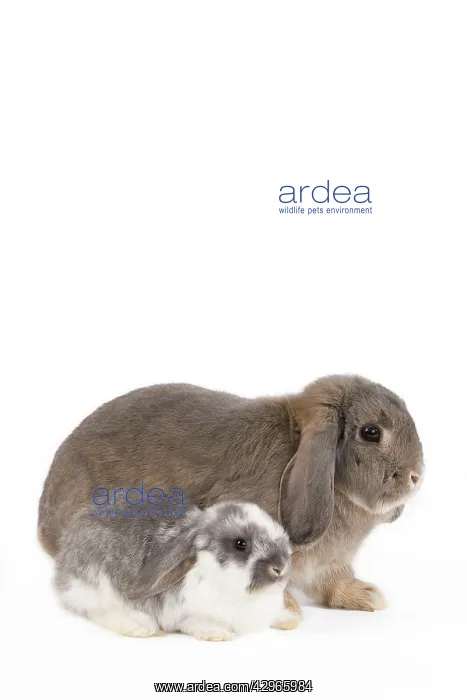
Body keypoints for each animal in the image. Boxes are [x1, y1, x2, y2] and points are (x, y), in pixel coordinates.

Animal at [40, 374, 423, 622]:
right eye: (371, 432)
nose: (416, 476)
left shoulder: (329, 564)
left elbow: (333, 581)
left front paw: (368, 596)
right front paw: (285, 611)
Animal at [54, 501, 293, 641]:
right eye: (240, 544)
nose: (280, 567)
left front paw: (288, 620)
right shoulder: (187, 614)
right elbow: (197, 623)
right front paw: (218, 633)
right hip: (99, 588)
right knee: (98, 612)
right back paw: (141, 628)